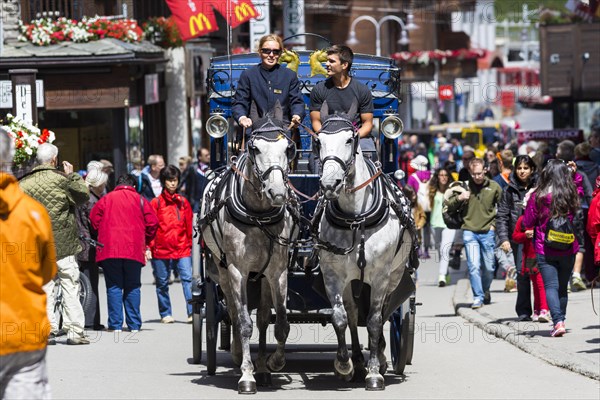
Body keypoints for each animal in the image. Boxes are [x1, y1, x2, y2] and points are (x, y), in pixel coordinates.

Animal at [199, 103, 298, 394]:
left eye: (288, 149)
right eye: (255, 149)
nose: (277, 192)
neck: (259, 215)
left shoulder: (277, 271)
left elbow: (281, 323)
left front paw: (274, 363)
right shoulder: (237, 270)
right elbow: (243, 323)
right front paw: (246, 374)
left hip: (262, 276)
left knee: (264, 317)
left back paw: (263, 368)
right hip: (220, 270)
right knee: (232, 311)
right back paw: (237, 356)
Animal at [314, 101, 418, 390]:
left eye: (350, 139)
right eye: (319, 141)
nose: (329, 184)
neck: (356, 218)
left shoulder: (381, 275)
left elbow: (373, 320)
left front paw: (374, 373)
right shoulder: (333, 275)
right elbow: (339, 317)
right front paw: (344, 364)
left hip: (394, 276)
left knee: (383, 312)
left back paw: (378, 357)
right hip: (352, 282)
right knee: (351, 314)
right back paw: (358, 360)